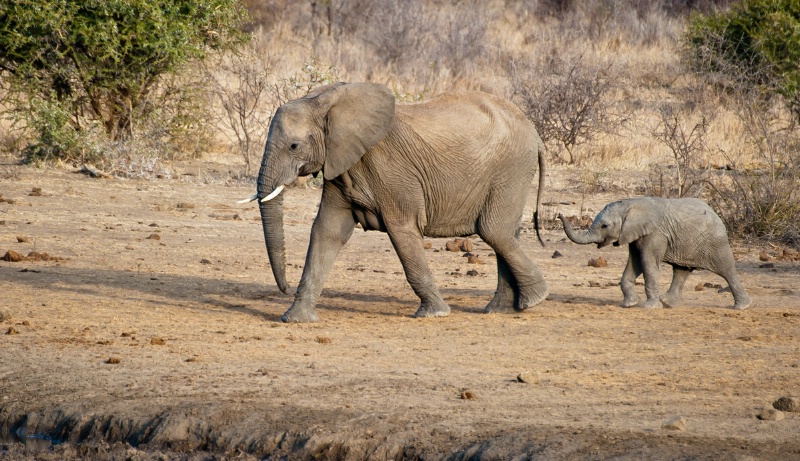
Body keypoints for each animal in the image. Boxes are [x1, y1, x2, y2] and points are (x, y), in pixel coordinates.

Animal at [239, 82, 552, 320]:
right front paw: (295, 318)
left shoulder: (391, 172)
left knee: (493, 230)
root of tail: (534, 132)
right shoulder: (341, 166)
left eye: (294, 146)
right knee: (504, 233)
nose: (283, 289)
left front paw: (434, 314)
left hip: (510, 169)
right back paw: (501, 309)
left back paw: (534, 299)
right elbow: (326, 231)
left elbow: (402, 231)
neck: (327, 103)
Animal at [556, 198, 752, 310]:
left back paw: (742, 307)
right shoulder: (634, 234)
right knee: (681, 271)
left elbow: (647, 262)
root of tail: (715, 212)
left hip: (715, 242)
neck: (629, 205)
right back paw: (667, 303)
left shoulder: (655, 233)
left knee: (726, 270)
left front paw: (649, 307)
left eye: (604, 226)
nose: (558, 214)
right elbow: (634, 263)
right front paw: (630, 304)